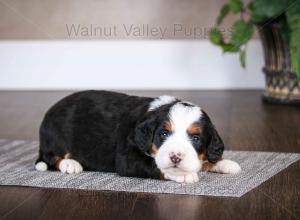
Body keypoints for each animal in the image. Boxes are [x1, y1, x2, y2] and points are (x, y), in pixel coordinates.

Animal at [35, 90, 241, 183]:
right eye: (163, 134)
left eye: (196, 138)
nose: (175, 157)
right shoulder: (127, 158)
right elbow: (156, 166)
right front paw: (182, 174)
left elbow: (207, 158)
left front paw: (225, 163)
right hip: (56, 137)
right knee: (51, 157)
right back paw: (70, 164)